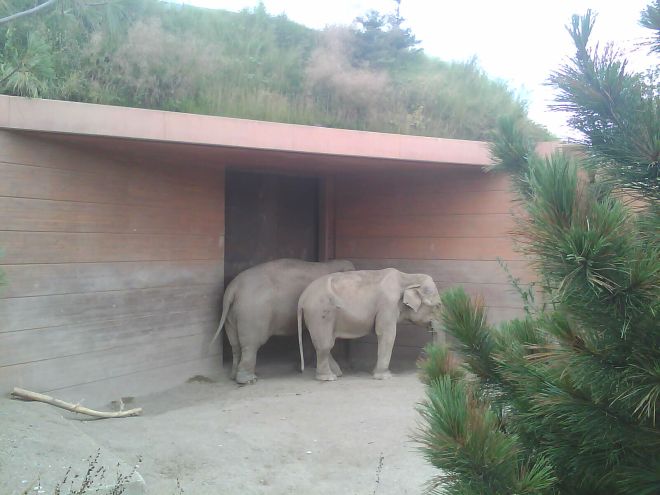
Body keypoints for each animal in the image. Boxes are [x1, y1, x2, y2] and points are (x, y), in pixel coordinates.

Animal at [212, 258, 355, 384]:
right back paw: (248, 380)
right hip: (252, 314)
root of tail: (233, 289)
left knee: (235, 344)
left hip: (231, 315)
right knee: (250, 345)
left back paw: (233, 376)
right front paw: (337, 373)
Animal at [297, 268, 441, 381]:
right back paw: (328, 377)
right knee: (325, 344)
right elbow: (386, 333)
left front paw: (376, 373)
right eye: (438, 306)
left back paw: (337, 373)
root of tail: (302, 298)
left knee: (323, 342)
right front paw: (384, 376)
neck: (408, 277)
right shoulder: (388, 304)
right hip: (320, 314)